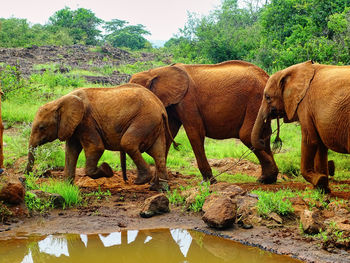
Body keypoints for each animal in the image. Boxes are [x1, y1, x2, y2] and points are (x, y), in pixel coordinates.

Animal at [24, 83, 178, 189]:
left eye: (41, 127)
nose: (25, 179)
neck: (59, 101)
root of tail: (160, 106)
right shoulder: (73, 126)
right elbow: (71, 151)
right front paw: (66, 187)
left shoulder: (86, 121)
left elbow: (95, 148)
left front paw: (106, 170)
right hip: (154, 124)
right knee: (158, 153)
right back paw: (158, 188)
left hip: (145, 120)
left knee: (128, 143)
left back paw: (141, 181)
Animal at [129, 60, 278, 185]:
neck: (155, 72)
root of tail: (266, 76)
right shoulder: (172, 105)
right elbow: (167, 134)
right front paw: (155, 183)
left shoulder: (187, 100)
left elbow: (194, 132)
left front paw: (208, 182)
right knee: (263, 136)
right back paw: (267, 179)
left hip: (256, 99)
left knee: (247, 135)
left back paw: (267, 178)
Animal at [253, 61, 350, 194]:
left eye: (267, 97)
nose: (263, 142)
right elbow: (320, 145)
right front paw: (321, 189)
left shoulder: (305, 105)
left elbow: (310, 140)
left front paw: (319, 181)